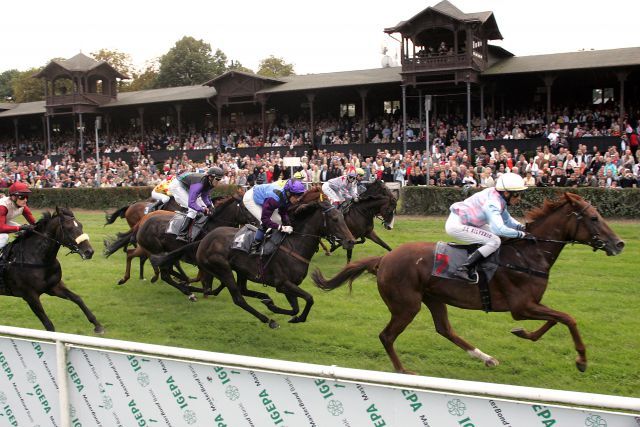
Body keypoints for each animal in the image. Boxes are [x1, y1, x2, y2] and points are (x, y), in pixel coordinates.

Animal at [104, 194, 256, 298]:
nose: (257, 222)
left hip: (151, 247)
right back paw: (185, 290)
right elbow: (205, 278)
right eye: (246, 208)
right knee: (162, 270)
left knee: (132, 253)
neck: (212, 225)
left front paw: (199, 287)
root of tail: (143, 220)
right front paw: (199, 288)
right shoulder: (202, 259)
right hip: (154, 248)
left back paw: (127, 277)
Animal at [152, 189, 358, 330]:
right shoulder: (283, 284)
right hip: (222, 268)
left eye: (342, 217)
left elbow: (295, 307)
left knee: (241, 289)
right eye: (334, 219)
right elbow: (309, 298)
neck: (294, 245)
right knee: (238, 297)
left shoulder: (287, 286)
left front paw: (277, 308)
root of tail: (204, 239)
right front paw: (293, 316)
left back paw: (264, 299)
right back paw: (268, 319)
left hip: (241, 270)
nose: (350, 241)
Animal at [312, 194, 624, 374]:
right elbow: (567, 318)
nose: (619, 244)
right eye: (594, 218)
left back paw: (486, 358)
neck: (527, 255)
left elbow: (555, 319)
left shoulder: (531, 304)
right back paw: (404, 371)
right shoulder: (521, 306)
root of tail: (384, 259)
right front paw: (581, 360)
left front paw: (524, 334)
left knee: (445, 329)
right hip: (407, 305)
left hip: (433, 298)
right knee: (387, 336)